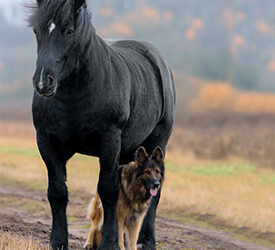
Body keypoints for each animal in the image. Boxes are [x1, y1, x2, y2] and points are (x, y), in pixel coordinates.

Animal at [28, 0, 175, 249]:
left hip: (156, 142)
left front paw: (110, 242)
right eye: (37, 31)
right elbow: (57, 192)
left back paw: (146, 240)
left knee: (155, 193)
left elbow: (108, 191)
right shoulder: (46, 141)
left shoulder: (109, 142)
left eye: (69, 31)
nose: (42, 82)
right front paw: (58, 241)